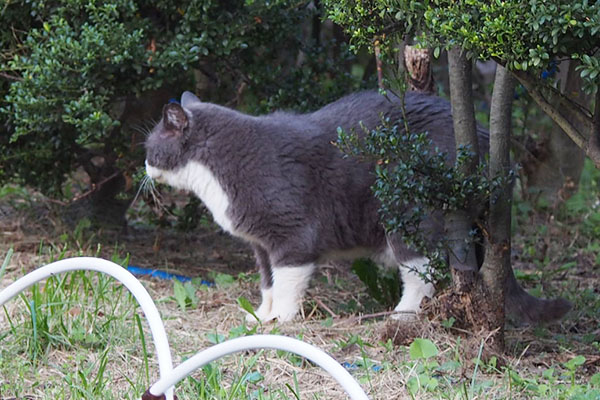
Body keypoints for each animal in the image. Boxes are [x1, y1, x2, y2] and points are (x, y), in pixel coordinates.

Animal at [145, 89, 572, 324]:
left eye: (150, 147)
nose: (145, 166)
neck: (215, 172)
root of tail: (485, 139)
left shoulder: (293, 234)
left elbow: (288, 280)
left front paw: (282, 320)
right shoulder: (260, 244)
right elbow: (267, 281)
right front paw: (261, 315)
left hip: (409, 211)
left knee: (423, 269)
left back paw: (400, 316)